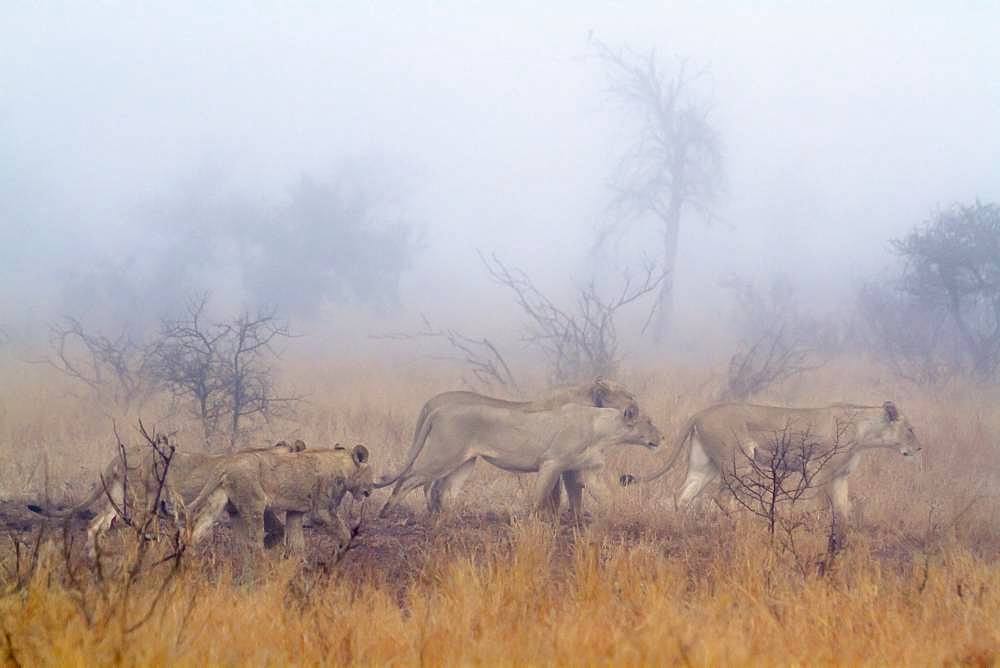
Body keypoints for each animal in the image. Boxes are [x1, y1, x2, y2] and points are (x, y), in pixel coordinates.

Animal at [29, 436, 306, 556]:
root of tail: (119, 456)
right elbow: (275, 529)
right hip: (144, 501)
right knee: (137, 532)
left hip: (117, 496)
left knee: (94, 524)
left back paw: (90, 557)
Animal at [188, 440, 376, 556]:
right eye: (371, 472)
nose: (371, 489)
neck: (344, 468)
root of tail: (225, 463)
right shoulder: (322, 511)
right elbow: (344, 534)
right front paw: (340, 553)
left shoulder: (295, 511)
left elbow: (297, 544)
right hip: (254, 505)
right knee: (254, 544)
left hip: (218, 501)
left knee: (197, 531)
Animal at [382, 376, 640, 512]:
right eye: (628, 395)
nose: (637, 404)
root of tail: (432, 404)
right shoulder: (561, 460)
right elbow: (568, 492)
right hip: (445, 455)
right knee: (421, 482)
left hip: (458, 459)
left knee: (433, 486)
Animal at [616, 400, 920, 520]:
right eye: (910, 429)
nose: (919, 448)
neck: (865, 432)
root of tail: (701, 412)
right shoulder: (816, 467)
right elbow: (816, 501)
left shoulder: (840, 476)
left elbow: (843, 507)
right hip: (740, 460)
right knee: (720, 495)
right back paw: (746, 521)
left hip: (704, 466)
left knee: (683, 495)